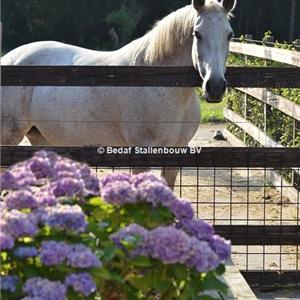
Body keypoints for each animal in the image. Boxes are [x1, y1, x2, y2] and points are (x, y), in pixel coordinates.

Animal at [1, 0, 237, 188]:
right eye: (197, 34)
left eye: (229, 34)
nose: (215, 87)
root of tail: (9, 58)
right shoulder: (142, 152)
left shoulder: (177, 151)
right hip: (9, 138)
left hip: (40, 138)